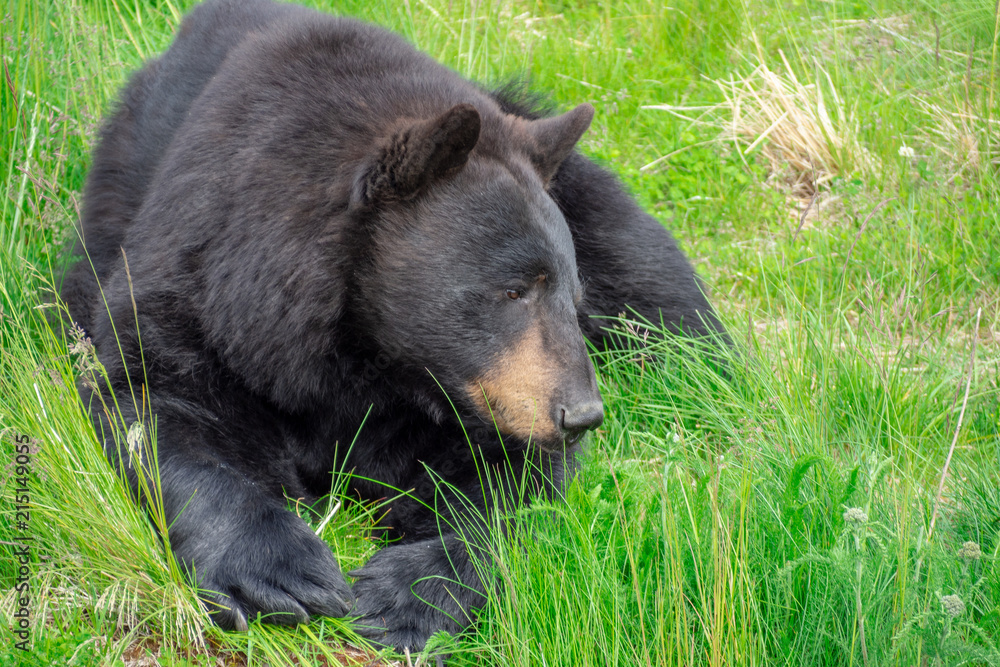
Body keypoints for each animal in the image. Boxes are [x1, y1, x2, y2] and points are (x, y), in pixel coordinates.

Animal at [62, 0, 725, 652]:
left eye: (570, 295)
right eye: (511, 290)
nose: (581, 415)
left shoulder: (476, 391)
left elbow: (514, 483)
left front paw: (406, 595)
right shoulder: (199, 283)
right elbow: (155, 400)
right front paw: (281, 571)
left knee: (648, 272)